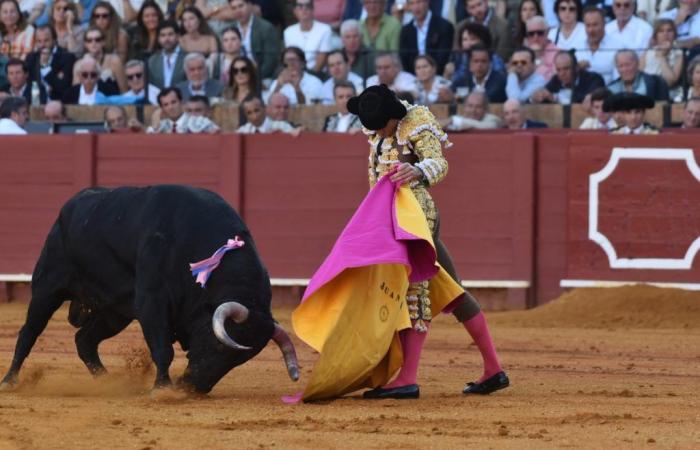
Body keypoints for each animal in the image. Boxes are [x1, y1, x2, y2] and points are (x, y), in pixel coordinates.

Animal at [0, 185, 298, 392]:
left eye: (241, 360)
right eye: (219, 345)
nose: (195, 387)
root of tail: (71, 205)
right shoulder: (151, 303)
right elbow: (163, 347)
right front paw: (162, 388)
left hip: (114, 312)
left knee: (84, 340)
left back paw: (108, 383)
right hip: (47, 289)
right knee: (29, 333)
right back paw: (9, 381)